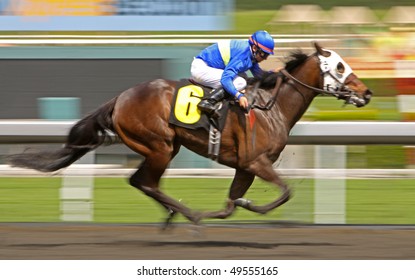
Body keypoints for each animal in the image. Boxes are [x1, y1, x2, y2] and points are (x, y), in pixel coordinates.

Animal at [8, 41, 374, 225]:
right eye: (339, 66)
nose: (367, 92)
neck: (271, 106)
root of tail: (119, 98)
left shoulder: (245, 166)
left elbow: (230, 204)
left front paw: (237, 204)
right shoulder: (256, 162)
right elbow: (284, 192)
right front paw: (247, 206)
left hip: (162, 148)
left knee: (141, 182)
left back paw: (178, 213)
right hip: (160, 146)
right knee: (143, 181)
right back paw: (185, 213)